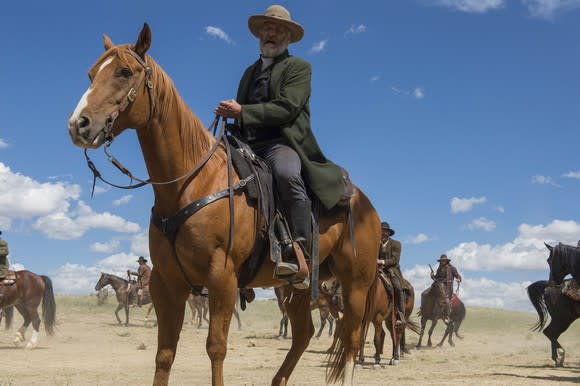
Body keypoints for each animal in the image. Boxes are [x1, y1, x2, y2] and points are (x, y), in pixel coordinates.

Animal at [68, 24, 378, 386]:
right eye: (91, 74)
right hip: (298, 288)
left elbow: (216, 347)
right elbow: (165, 353)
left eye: (124, 72)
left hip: (356, 284)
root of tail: (364, 203)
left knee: (352, 339)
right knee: (303, 334)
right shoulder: (167, 283)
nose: (78, 124)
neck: (191, 183)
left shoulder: (222, 278)